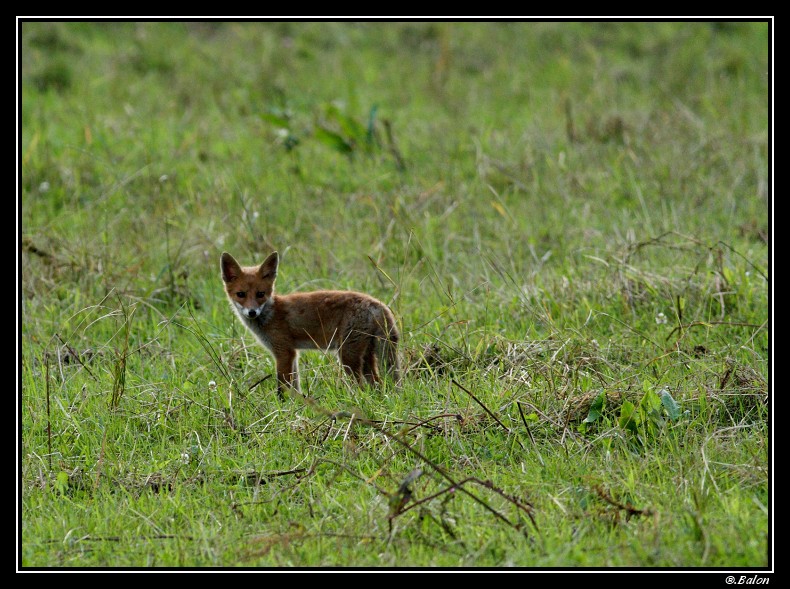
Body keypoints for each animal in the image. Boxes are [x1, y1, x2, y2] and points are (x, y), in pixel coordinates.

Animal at [220, 250, 400, 398]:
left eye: (260, 294)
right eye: (241, 294)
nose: (252, 312)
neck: (271, 313)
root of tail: (378, 304)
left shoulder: (283, 352)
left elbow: (282, 387)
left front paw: (283, 406)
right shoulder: (292, 353)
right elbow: (295, 386)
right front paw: (297, 405)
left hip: (348, 356)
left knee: (362, 387)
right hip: (366, 356)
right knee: (377, 384)